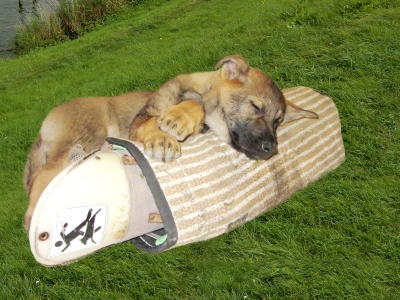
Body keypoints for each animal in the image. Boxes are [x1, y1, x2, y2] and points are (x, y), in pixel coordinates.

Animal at [22, 55, 318, 231]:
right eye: (255, 107)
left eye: (278, 122)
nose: (271, 149)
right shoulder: (141, 120)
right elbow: (189, 108)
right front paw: (170, 129)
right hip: (82, 139)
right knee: (43, 176)